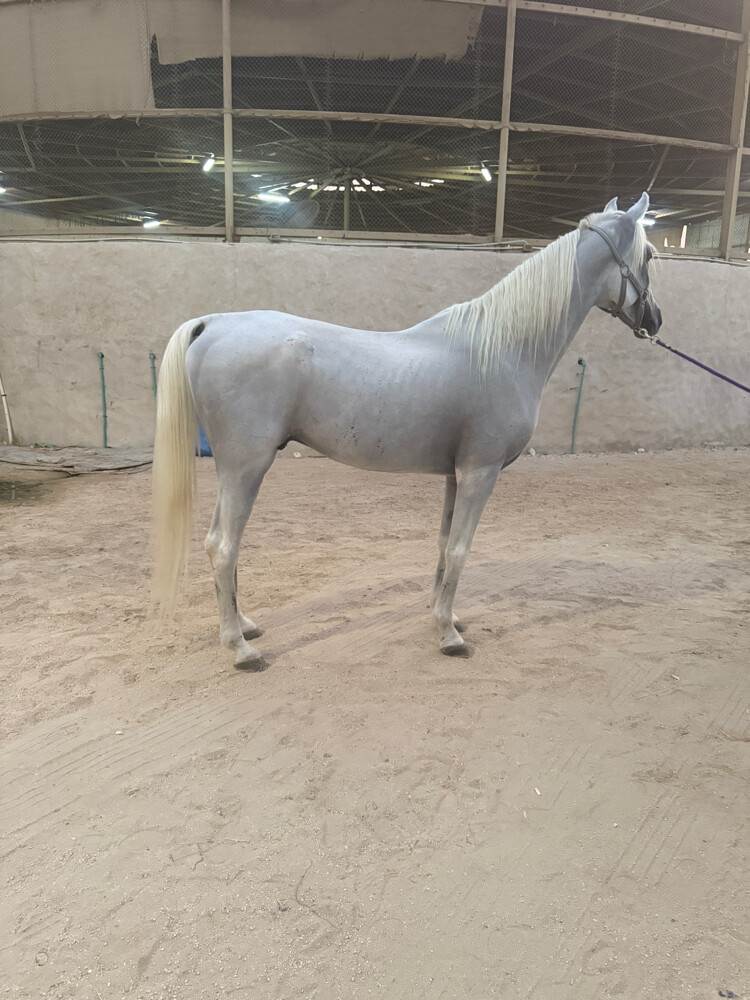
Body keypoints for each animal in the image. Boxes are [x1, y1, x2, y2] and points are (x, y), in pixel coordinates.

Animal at [152, 192, 661, 668]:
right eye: (651, 255)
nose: (654, 321)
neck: (504, 348)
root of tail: (214, 323)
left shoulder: (457, 475)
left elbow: (443, 545)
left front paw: (443, 616)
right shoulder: (480, 472)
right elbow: (460, 550)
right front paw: (449, 636)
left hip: (236, 471)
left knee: (217, 544)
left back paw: (244, 626)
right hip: (246, 467)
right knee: (224, 547)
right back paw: (240, 648)